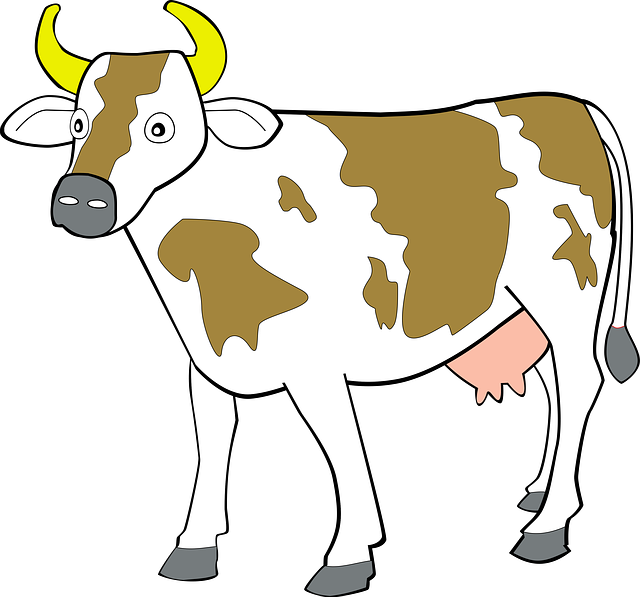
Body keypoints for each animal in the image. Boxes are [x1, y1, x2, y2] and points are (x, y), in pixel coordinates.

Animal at [5, 3, 637, 594]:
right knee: (555, 383)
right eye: (79, 124)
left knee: (580, 380)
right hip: (529, 308)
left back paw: (549, 525)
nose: (81, 199)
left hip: (566, 290)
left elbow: (339, 442)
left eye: (161, 127)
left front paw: (349, 554)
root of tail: (571, 106)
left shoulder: (314, 362)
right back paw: (543, 490)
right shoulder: (205, 361)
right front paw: (194, 546)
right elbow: (212, 442)